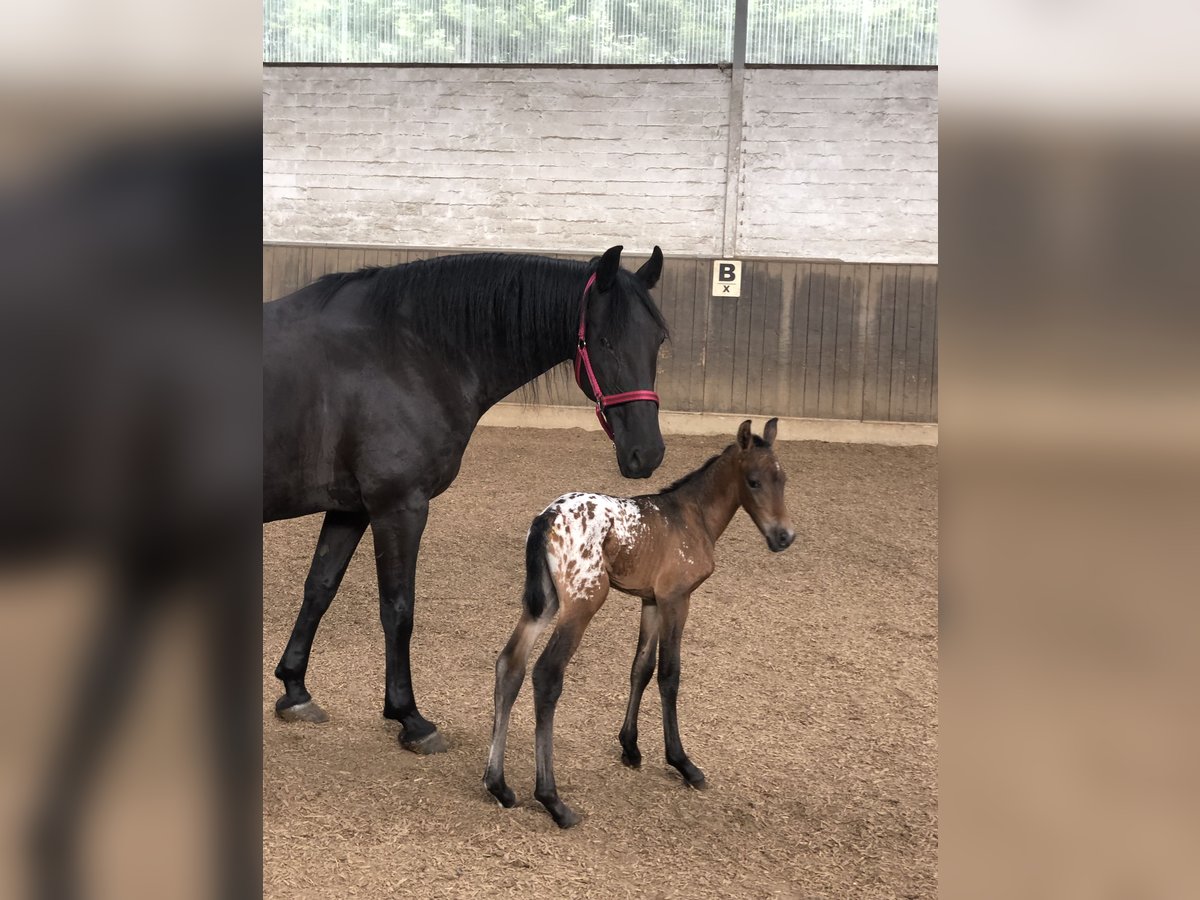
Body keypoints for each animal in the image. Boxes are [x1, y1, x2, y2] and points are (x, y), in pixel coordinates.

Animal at [264, 244, 672, 753]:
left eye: (658, 339)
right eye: (605, 341)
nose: (647, 452)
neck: (403, 353)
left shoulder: (350, 508)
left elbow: (319, 588)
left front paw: (294, 688)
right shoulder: (399, 506)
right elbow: (398, 608)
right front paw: (409, 716)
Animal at [482, 420, 792, 830]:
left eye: (783, 479)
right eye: (753, 482)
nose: (784, 537)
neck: (691, 515)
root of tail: (545, 518)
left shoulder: (651, 601)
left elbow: (640, 668)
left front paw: (630, 747)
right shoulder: (677, 599)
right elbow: (669, 674)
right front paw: (682, 763)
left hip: (544, 604)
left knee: (510, 665)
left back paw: (498, 785)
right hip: (582, 604)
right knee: (546, 674)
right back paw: (553, 801)